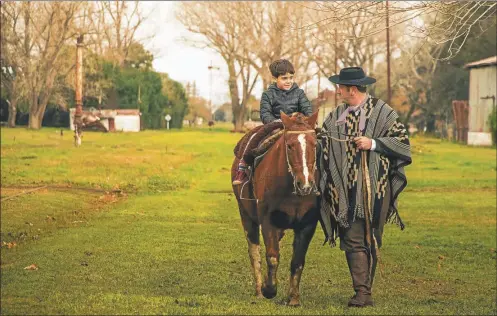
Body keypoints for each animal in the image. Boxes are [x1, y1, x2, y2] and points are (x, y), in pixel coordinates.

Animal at [232, 111, 320, 306]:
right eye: (289, 146)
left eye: (315, 144)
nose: (306, 184)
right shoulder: (267, 221)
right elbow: (272, 257)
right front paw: (268, 289)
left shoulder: (307, 224)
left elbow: (297, 261)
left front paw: (293, 297)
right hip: (246, 215)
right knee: (254, 251)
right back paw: (259, 289)